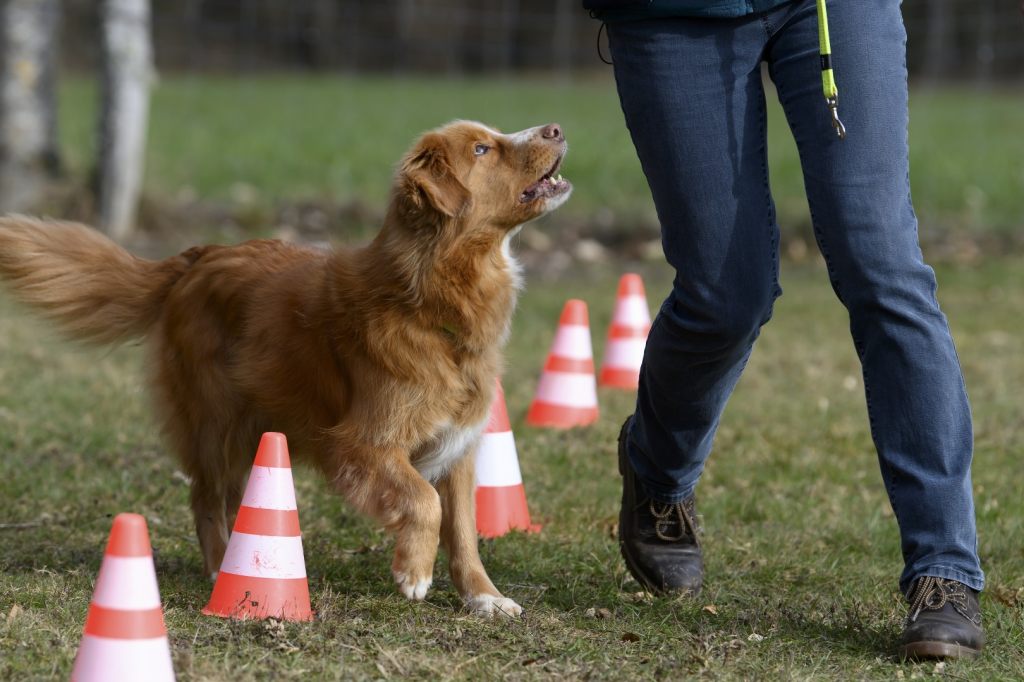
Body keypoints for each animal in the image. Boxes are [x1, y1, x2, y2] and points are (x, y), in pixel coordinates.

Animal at [0, 119, 573, 614]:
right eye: (482, 149)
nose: (555, 128)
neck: (430, 299)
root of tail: (196, 258)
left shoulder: (458, 445)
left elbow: (464, 529)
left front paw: (483, 595)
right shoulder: (361, 443)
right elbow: (422, 500)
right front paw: (413, 572)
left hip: (254, 426)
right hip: (216, 421)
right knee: (204, 495)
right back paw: (220, 568)